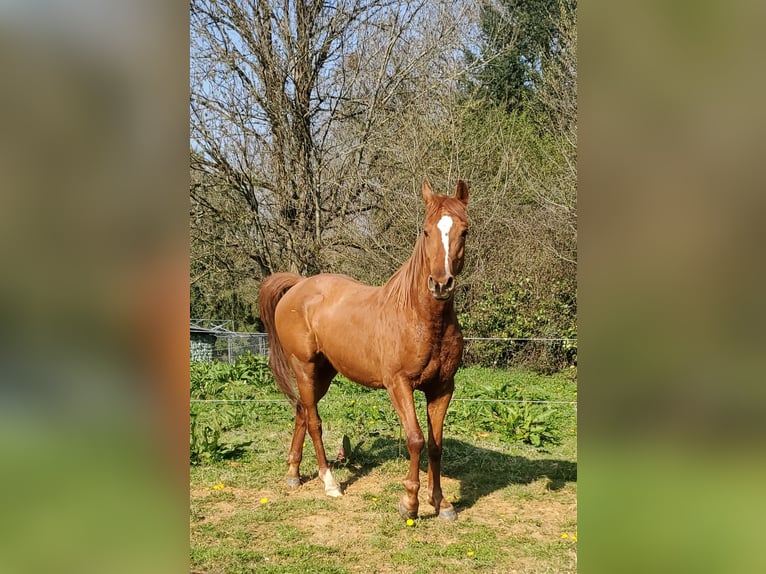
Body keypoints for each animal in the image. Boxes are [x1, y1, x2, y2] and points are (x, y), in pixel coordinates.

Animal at [258, 179, 469, 520]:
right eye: (425, 231)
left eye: (465, 231)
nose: (440, 284)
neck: (419, 317)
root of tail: (299, 285)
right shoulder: (399, 385)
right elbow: (415, 439)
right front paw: (409, 503)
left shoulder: (442, 388)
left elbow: (436, 445)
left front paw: (442, 503)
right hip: (303, 367)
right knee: (314, 421)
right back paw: (330, 482)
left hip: (323, 373)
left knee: (302, 411)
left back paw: (293, 473)